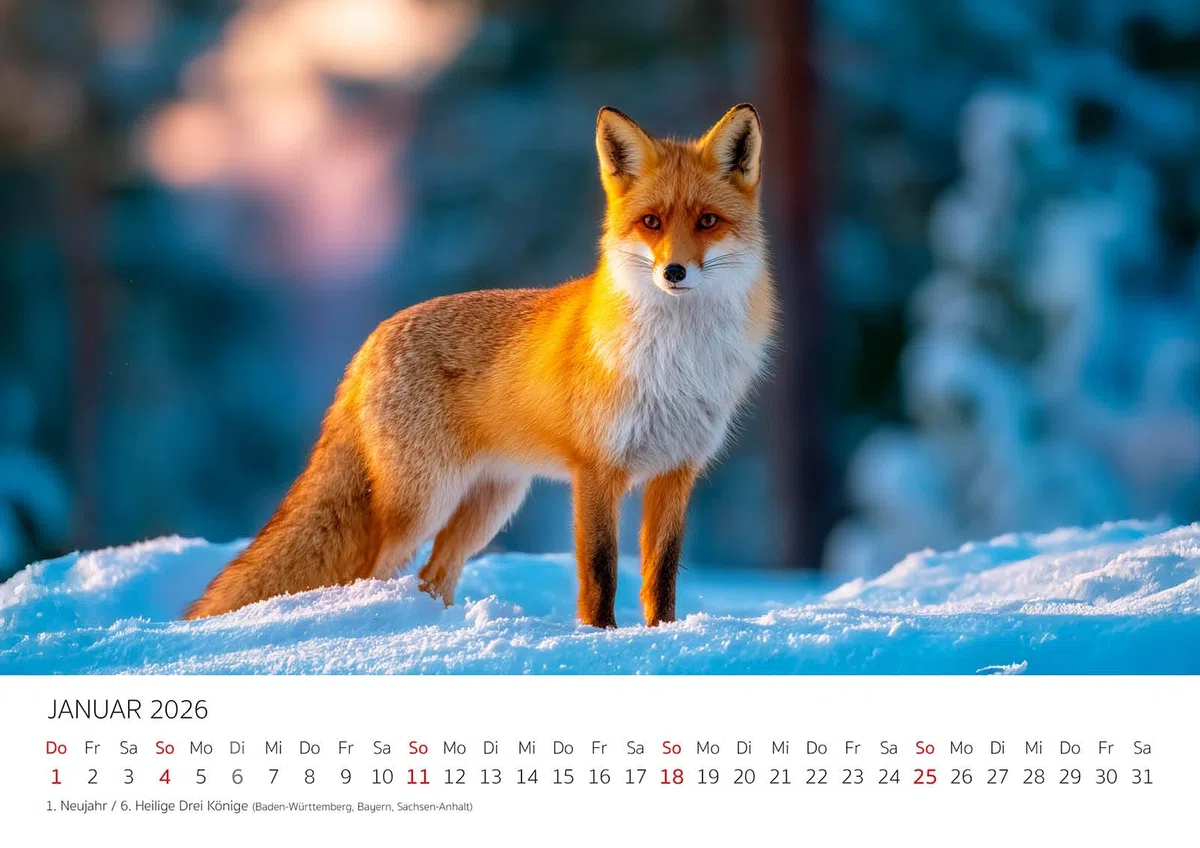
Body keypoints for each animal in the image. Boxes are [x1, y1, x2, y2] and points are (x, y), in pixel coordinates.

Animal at [184, 103, 775, 627]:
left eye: (707, 221)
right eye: (651, 222)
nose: (673, 272)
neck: (677, 362)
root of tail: (371, 340)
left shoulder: (677, 471)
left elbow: (662, 576)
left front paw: (662, 635)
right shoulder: (596, 471)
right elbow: (601, 573)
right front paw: (601, 638)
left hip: (489, 505)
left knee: (434, 576)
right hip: (424, 503)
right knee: (379, 570)